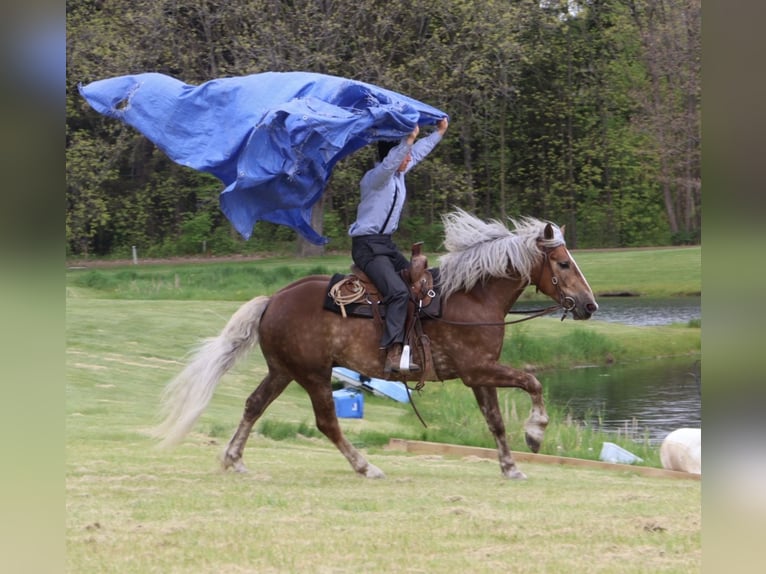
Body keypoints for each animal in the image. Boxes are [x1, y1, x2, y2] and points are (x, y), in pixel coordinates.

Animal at [152, 209, 598, 480]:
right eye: (563, 264)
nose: (590, 305)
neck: (471, 297)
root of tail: (274, 300)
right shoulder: (479, 369)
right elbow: (532, 382)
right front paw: (536, 433)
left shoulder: (479, 375)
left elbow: (495, 421)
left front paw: (510, 466)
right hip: (313, 374)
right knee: (327, 422)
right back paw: (366, 467)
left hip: (283, 371)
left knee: (253, 406)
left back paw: (234, 459)